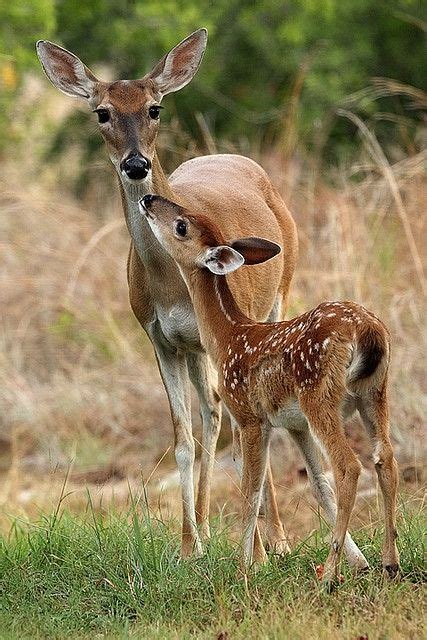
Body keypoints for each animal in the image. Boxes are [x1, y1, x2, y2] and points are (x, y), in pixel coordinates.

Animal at [36, 27, 298, 556]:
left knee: (236, 415)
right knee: (210, 416)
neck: (169, 280)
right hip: (196, 347)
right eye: (102, 112)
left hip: (278, 297)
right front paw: (187, 546)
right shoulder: (160, 338)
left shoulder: (227, 332)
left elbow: (237, 426)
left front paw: (256, 551)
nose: (137, 165)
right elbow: (182, 440)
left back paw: (278, 539)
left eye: (155, 108)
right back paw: (208, 528)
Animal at [140, 194, 402, 584]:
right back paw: (390, 563)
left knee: (349, 466)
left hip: (319, 396)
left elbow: (250, 491)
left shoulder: (249, 415)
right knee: (385, 458)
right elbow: (313, 481)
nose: (148, 198)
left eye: (182, 226)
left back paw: (329, 575)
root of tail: (367, 331)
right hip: (375, 392)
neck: (229, 337)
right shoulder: (292, 424)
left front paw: (243, 566)